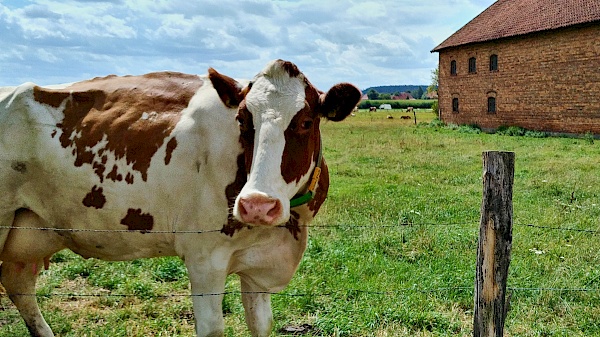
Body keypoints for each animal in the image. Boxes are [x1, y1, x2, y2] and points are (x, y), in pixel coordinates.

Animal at [0, 60, 360, 336]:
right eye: (242, 120)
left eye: (306, 122)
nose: (257, 205)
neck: (287, 231)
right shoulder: (205, 259)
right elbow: (212, 329)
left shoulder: (259, 265)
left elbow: (261, 325)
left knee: (19, 285)